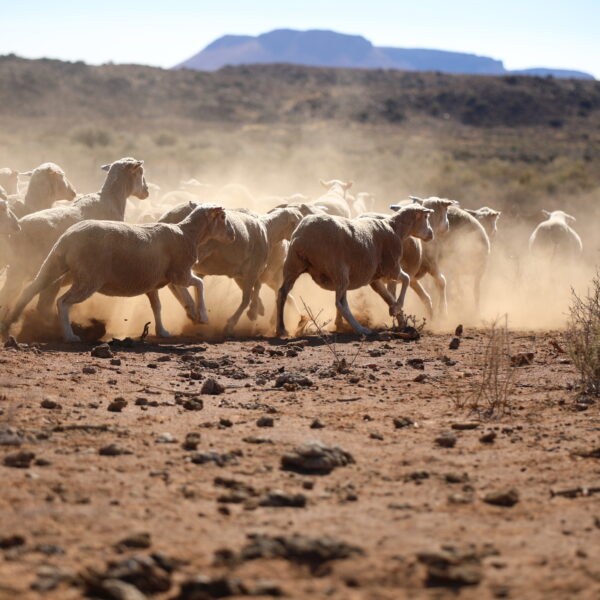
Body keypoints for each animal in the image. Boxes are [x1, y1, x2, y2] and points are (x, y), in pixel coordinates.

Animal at [0, 157, 149, 322]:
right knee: (38, 303)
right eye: (140, 172)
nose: (146, 190)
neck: (111, 200)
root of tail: (19, 230)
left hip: (25, 270)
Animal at [2, 204, 234, 342]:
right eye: (223, 217)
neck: (188, 234)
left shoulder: (159, 281)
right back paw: (69, 335)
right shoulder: (180, 273)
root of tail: (69, 236)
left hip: (55, 263)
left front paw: (167, 328)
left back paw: (9, 322)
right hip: (88, 278)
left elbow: (159, 307)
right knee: (62, 302)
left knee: (31, 289)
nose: (232, 236)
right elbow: (199, 285)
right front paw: (202, 316)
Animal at [274, 204, 434, 338]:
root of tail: (303, 237)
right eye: (426, 217)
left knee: (282, 293)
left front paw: (399, 318)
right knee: (340, 303)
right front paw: (397, 309)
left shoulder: (375, 278)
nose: (431, 234)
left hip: (293, 265)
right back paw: (360, 329)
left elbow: (388, 297)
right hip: (339, 271)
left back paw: (281, 329)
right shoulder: (392, 267)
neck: (395, 228)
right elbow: (406, 279)